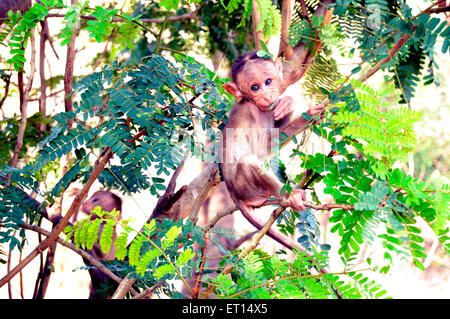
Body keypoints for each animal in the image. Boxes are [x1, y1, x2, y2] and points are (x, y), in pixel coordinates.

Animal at [221, 52, 324, 218]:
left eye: (268, 81)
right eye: (255, 88)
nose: (267, 96)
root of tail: (235, 196)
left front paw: (288, 103)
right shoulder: (253, 113)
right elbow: (263, 150)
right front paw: (310, 115)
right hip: (246, 189)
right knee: (248, 160)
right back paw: (290, 197)